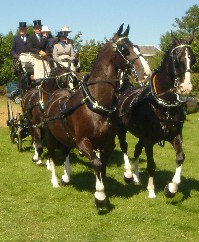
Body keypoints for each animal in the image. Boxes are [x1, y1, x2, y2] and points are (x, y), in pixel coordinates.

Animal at [42, 24, 151, 210]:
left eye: (136, 46)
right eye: (124, 49)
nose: (146, 73)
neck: (96, 103)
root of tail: (55, 94)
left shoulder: (107, 143)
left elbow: (103, 165)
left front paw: (103, 190)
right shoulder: (83, 142)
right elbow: (97, 163)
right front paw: (99, 195)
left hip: (66, 137)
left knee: (65, 151)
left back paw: (66, 176)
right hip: (50, 136)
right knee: (52, 155)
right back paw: (55, 180)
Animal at [117, 32, 195, 199]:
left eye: (193, 58)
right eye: (177, 58)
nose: (186, 87)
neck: (165, 104)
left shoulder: (175, 134)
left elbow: (180, 157)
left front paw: (171, 188)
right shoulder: (149, 140)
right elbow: (151, 165)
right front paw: (152, 190)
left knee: (136, 150)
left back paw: (136, 177)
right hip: (121, 130)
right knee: (125, 147)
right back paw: (128, 174)